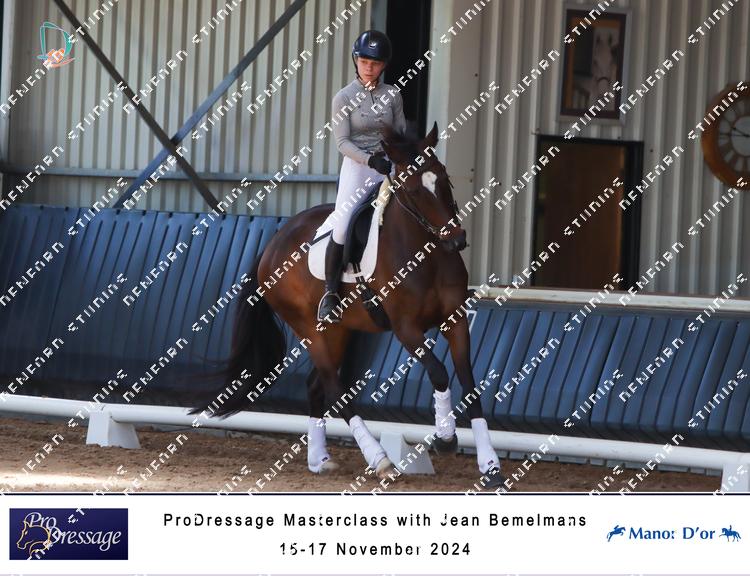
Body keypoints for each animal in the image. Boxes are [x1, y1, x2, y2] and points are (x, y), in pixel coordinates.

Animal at [189, 122, 506, 488]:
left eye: (444, 180)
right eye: (414, 191)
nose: (457, 240)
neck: (426, 254)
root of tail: (273, 244)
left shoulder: (454, 320)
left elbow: (468, 381)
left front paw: (490, 465)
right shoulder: (406, 329)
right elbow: (439, 372)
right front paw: (445, 437)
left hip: (338, 331)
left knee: (317, 387)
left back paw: (320, 460)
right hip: (310, 329)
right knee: (334, 389)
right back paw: (380, 461)